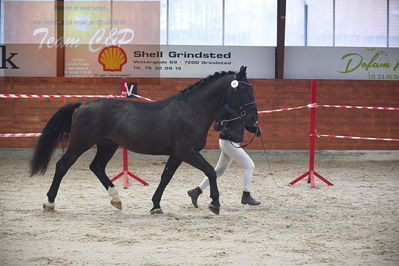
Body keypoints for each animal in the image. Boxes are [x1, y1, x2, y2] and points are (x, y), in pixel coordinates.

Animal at [29, 65, 258, 215]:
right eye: (243, 89)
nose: (253, 120)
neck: (191, 110)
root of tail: (83, 104)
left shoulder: (177, 155)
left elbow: (165, 178)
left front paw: (156, 206)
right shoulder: (187, 152)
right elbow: (210, 171)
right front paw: (215, 204)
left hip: (108, 145)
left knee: (97, 167)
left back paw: (117, 200)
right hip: (80, 144)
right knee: (62, 165)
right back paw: (49, 203)